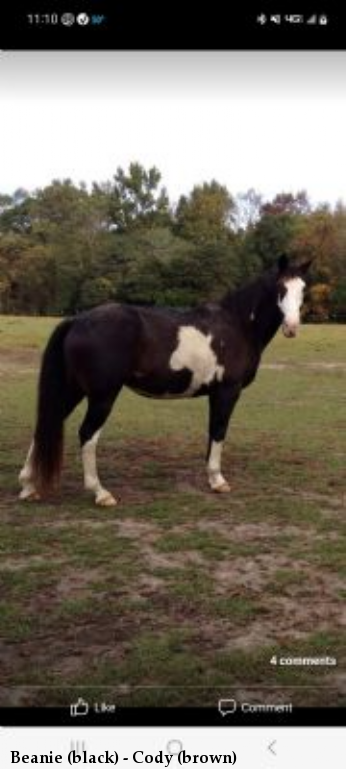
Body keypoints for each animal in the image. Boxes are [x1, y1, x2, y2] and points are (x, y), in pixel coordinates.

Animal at [18, 254, 310, 504]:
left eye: (303, 290)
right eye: (280, 289)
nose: (292, 327)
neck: (237, 324)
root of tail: (77, 320)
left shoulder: (215, 394)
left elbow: (211, 432)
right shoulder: (228, 391)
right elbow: (219, 431)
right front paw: (217, 481)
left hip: (74, 389)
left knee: (48, 422)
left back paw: (29, 486)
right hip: (102, 395)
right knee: (87, 434)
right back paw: (100, 493)